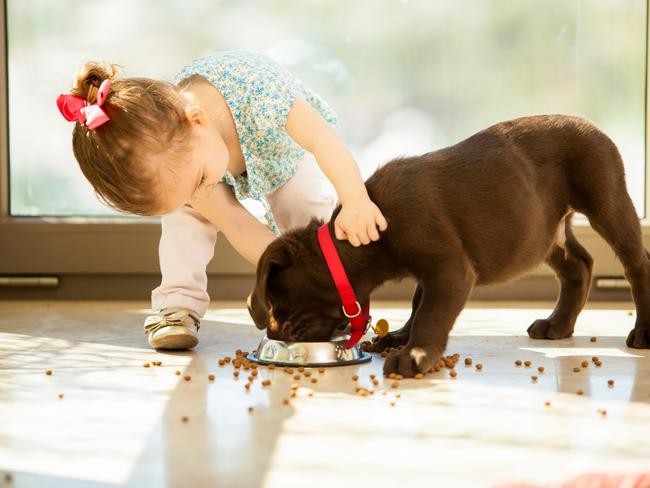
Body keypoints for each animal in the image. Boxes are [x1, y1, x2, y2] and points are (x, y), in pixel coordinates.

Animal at [246, 114, 644, 378]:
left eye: (277, 301)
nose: (275, 334)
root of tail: (591, 124)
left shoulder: (449, 269)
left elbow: (431, 312)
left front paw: (414, 355)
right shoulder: (433, 269)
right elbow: (418, 301)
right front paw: (400, 337)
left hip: (607, 200)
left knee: (635, 263)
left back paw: (643, 332)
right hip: (543, 233)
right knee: (580, 265)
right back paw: (559, 324)